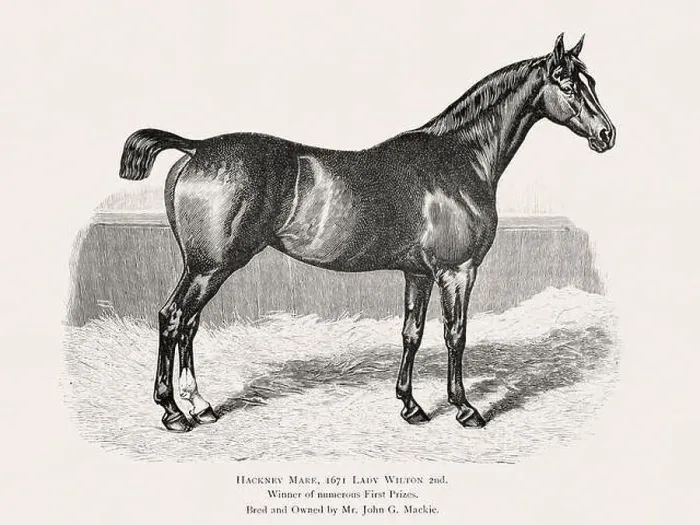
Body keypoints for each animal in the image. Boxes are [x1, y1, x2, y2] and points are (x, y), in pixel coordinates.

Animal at [119, 34, 615, 433]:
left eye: (591, 82)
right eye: (567, 84)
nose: (607, 135)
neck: (459, 158)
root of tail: (196, 149)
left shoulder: (419, 274)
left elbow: (412, 333)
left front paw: (411, 405)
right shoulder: (458, 272)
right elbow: (455, 335)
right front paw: (465, 408)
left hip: (207, 269)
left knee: (189, 324)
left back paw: (200, 405)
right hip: (210, 267)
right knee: (173, 319)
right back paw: (173, 412)